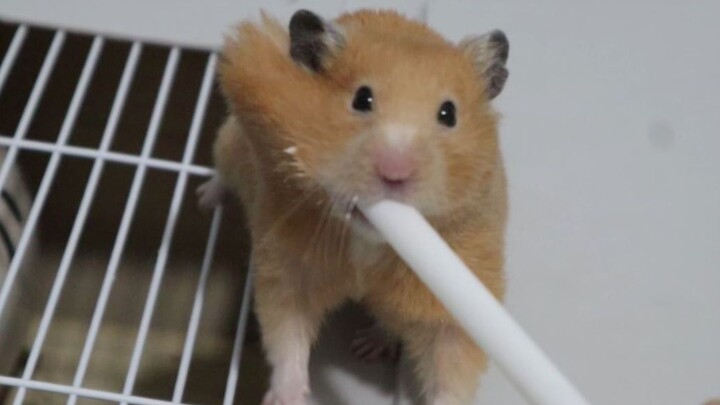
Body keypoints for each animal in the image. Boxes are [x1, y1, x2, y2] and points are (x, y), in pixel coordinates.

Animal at [200, 9, 510, 404]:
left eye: (448, 113)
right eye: (362, 99)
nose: (395, 173)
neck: (370, 243)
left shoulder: (456, 299)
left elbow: (452, 369)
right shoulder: (289, 271)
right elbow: (287, 336)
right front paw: (286, 397)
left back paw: (369, 346)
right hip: (230, 143)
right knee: (223, 171)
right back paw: (205, 197)